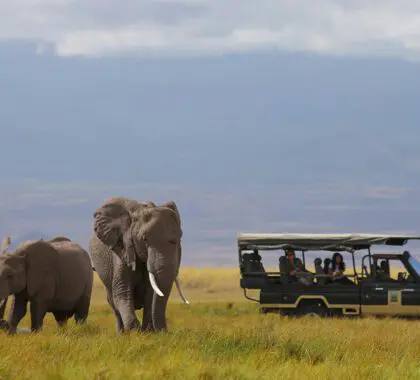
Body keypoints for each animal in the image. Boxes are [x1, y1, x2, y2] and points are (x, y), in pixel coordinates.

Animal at [89, 197, 189, 334]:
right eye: (144, 239)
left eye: (179, 238)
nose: (165, 331)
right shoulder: (122, 249)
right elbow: (122, 292)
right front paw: (134, 333)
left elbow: (151, 294)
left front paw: (148, 333)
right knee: (113, 304)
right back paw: (121, 334)